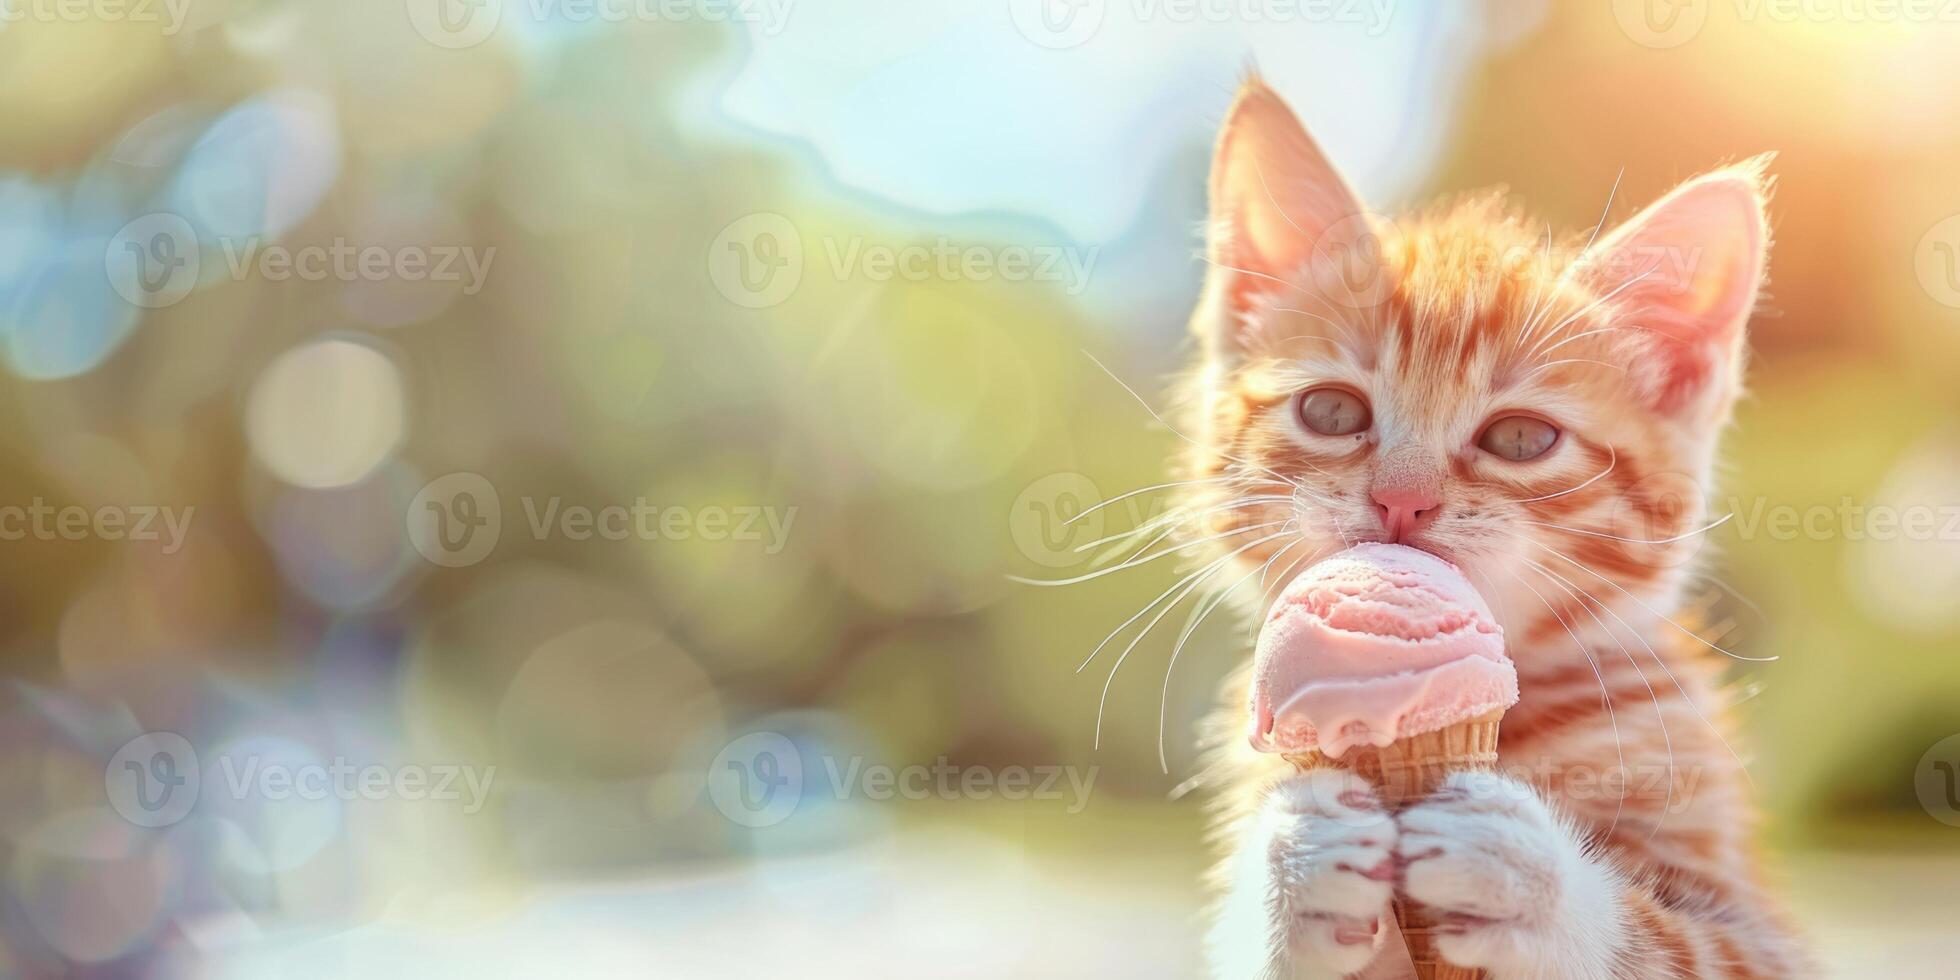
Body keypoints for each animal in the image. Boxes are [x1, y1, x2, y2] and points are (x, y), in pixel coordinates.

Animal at [1176, 80, 1803, 976]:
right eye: (1330, 412)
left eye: (1520, 439)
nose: (1402, 500)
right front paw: (1294, 862)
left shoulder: (1759, 932)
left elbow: (1678, 946)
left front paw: (1528, 878)